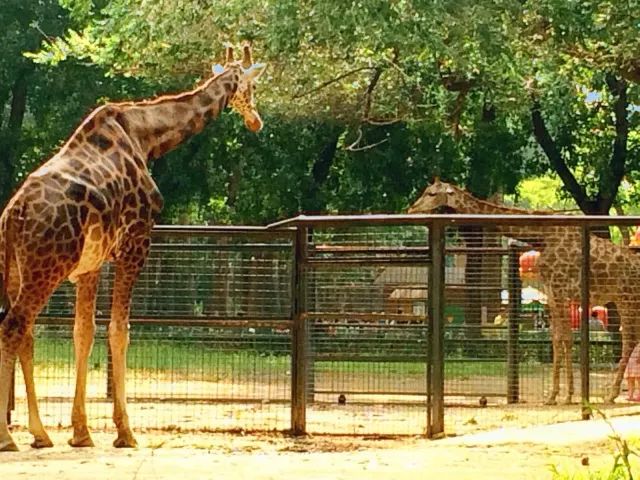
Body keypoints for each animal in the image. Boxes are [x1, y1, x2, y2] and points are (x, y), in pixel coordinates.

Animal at [0, 42, 266, 450]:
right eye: (251, 87)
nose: (256, 121)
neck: (146, 137)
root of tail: (15, 214)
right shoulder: (137, 242)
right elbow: (120, 331)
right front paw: (125, 431)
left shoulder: (91, 264)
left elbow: (84, 332)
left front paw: (81, 432)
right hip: (46, 268)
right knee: (14, 328)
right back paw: (7, 437)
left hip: (14, 268)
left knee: (25, 333)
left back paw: (40, 433)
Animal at [410, 180, 640, 404]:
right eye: (426, 190)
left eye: (431, 194)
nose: (411, 210)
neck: (541, 236)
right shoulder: (551, 294)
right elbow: (556, 339)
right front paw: (554, 395)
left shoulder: (560, 290)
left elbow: (566, 338)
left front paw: (567, 396)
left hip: (627, 298)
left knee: (629, 339)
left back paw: (611, 394)